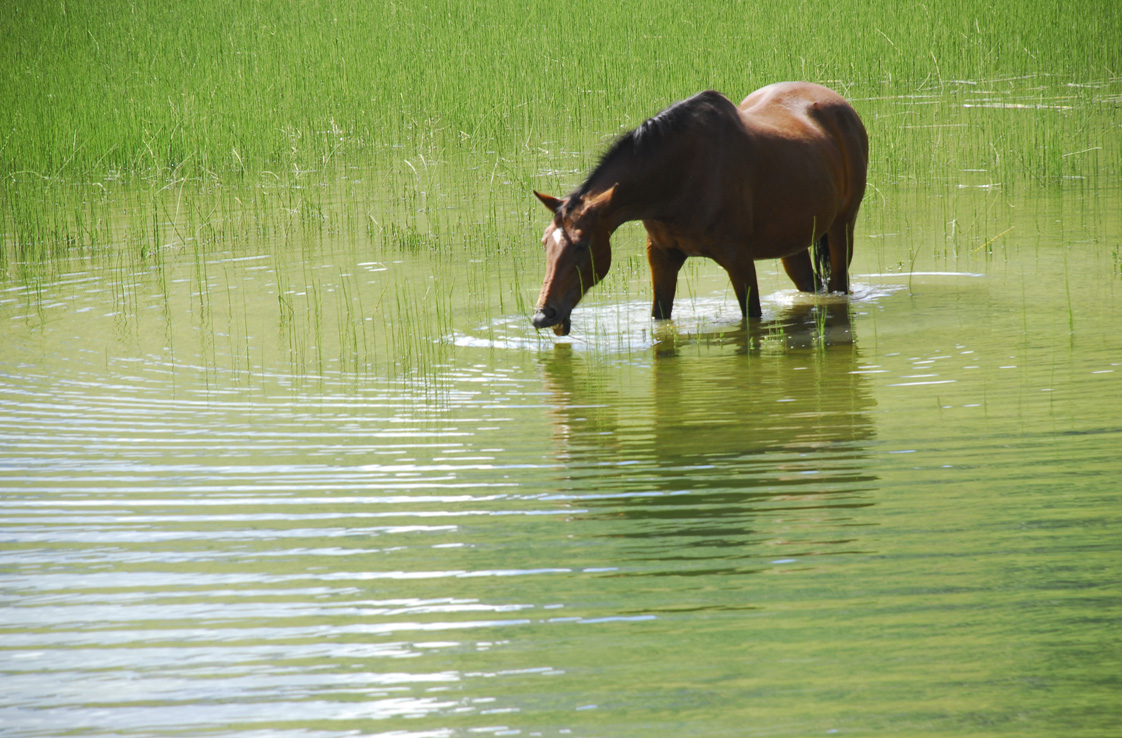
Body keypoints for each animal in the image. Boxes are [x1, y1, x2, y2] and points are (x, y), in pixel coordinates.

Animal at [531, 81, 866, 334]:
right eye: (545, 243)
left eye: (582, 245)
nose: (543, 315)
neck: (679, 177)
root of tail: (841, 106)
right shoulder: (662, 257)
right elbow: (660, 316)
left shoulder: (738, 260)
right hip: (792, 245)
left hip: (842, 228)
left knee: (839, 285)